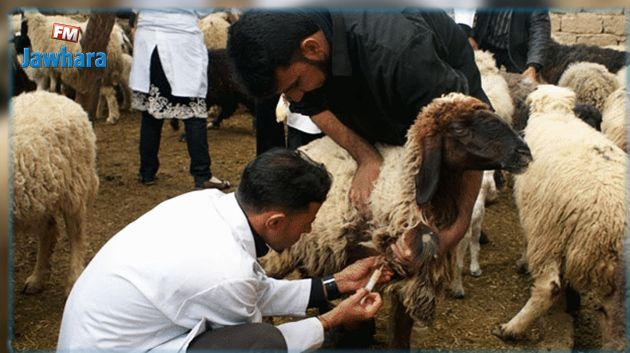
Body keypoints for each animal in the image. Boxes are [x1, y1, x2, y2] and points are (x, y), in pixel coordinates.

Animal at [11, 89, 99, 292]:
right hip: (39, 197)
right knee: (49, 230)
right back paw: (37, 279)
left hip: (75, 188)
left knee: (76, 236)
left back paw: (72, 281)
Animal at [496, 83, 628, 350]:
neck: (556, 114)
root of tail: (617, 223)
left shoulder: (537, 216)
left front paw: (522, 262)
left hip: (550, 235)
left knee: (549, 288)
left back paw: (512, 328)